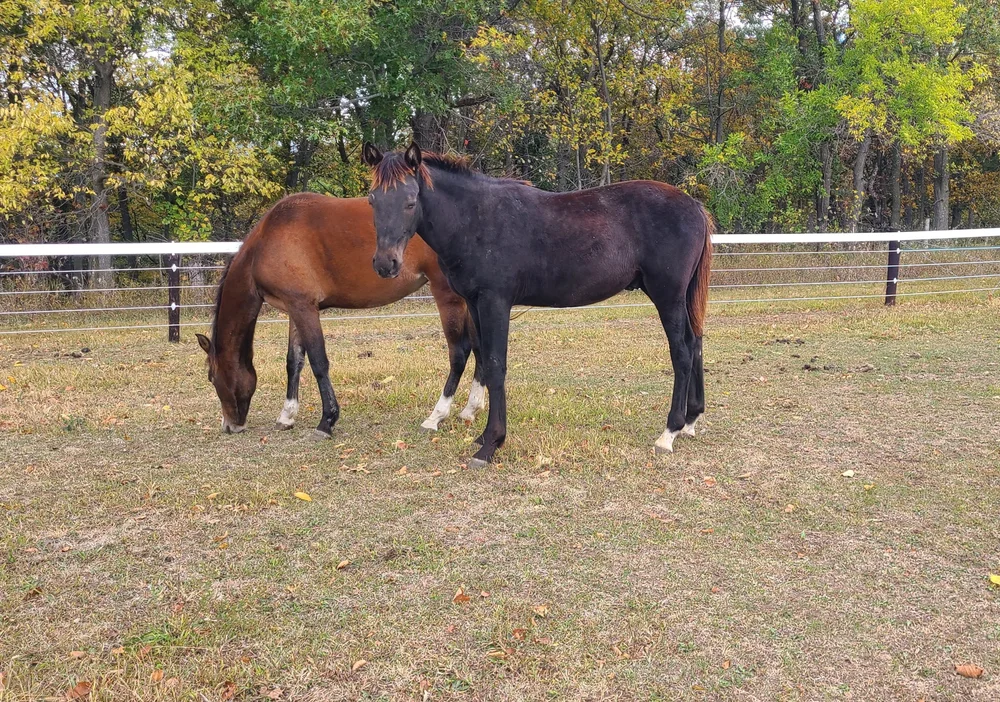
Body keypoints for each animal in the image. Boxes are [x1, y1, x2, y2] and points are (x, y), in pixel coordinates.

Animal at [195, 192, 486, 438]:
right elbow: (293, 361)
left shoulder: (304, 308)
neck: (266, 243)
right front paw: (287, 415)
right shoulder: (296, 308)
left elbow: (318, 362)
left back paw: (436, 416)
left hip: (448, 296)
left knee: (459, 353)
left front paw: (327, 421)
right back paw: (469, 410)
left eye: (211, 377)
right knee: (480, 347)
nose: (229, 426)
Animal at [362, 142, 713, 467]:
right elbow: (482, 356)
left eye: (410, 202)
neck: (476, 219)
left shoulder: (495, 302)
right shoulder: (474, 304)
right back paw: (690, 422)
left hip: (667, 296)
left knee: (682, 353)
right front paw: (480, 435)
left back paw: (669, 433)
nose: (385, 264)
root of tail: (694, 206)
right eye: (372, 199)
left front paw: (491, 444)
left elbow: (495, 364)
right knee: (695, 344)